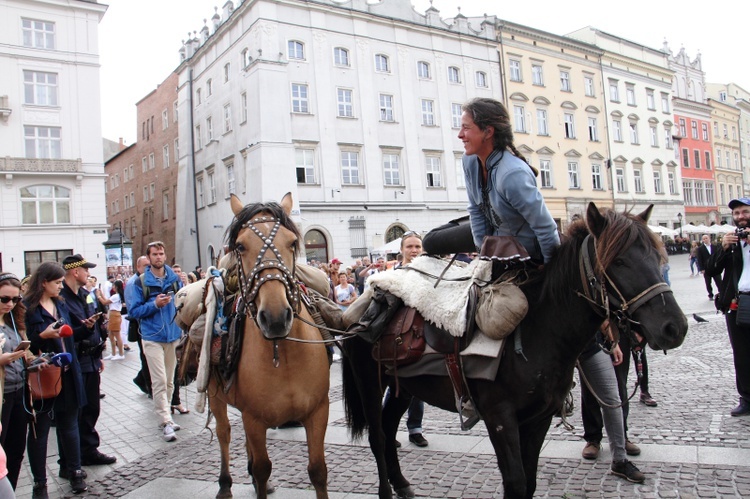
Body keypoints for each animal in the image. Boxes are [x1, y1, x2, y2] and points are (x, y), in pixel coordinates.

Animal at [210, 193, 330, 498]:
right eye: (240, 246)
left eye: (292, 242)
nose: (275, 318)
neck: (282, 354)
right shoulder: (254, 418)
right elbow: (263, 468)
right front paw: (257, 479)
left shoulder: (317, 412)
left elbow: (318, 471)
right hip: (215, 397)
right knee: (224, 433)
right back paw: (225, 483)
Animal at [344, 203, 692, 499]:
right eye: (618, 260)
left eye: (657, 255)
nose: (674, 327)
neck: (539, 327)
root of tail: (360, 302)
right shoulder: (500, 419)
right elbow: (515, 482)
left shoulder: (539, 418)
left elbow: (530, 481)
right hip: (370, 384)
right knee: (377, 436)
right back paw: (386, 491)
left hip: (403, 388)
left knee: (388, 428)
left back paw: (402, 484)